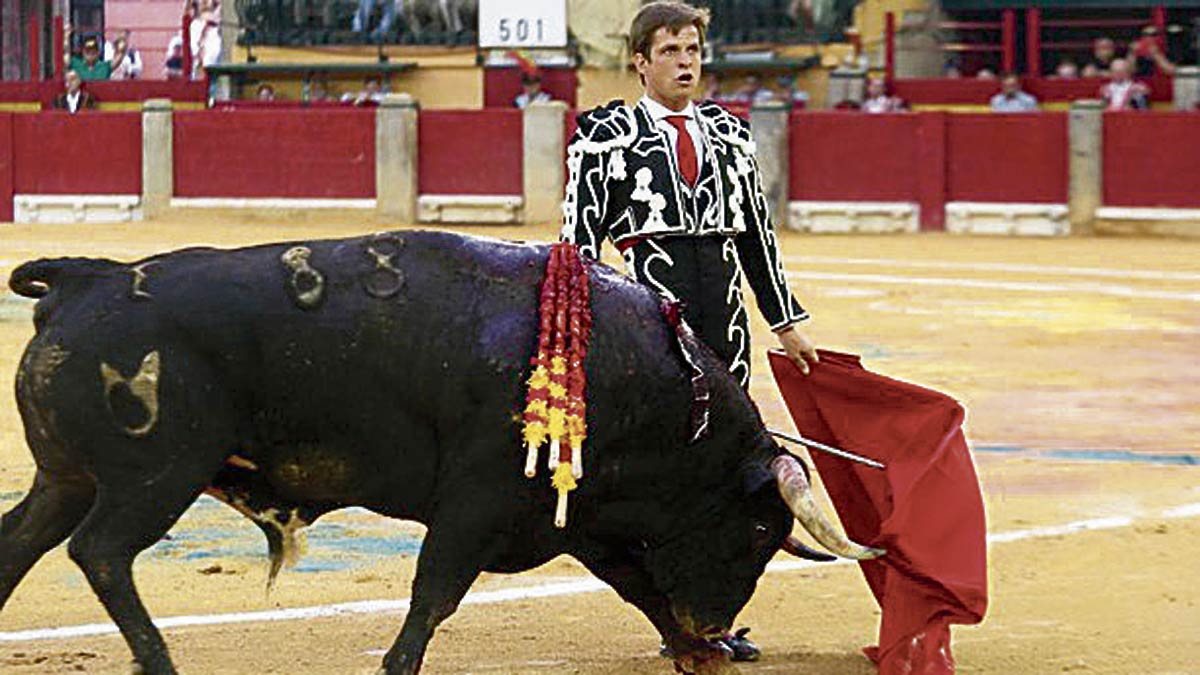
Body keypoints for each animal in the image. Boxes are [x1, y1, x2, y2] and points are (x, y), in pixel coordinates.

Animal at [2, 230, 883, 672]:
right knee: (102, 551)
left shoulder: (577, 516)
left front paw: (697, 653)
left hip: (66, 477)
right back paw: (159, 662)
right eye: (759, 529)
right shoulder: (477, 503)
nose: (718, 623)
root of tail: (86, 280)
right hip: (157, 473)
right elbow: (433, 596)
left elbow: (639, 587)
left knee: (21, 541)